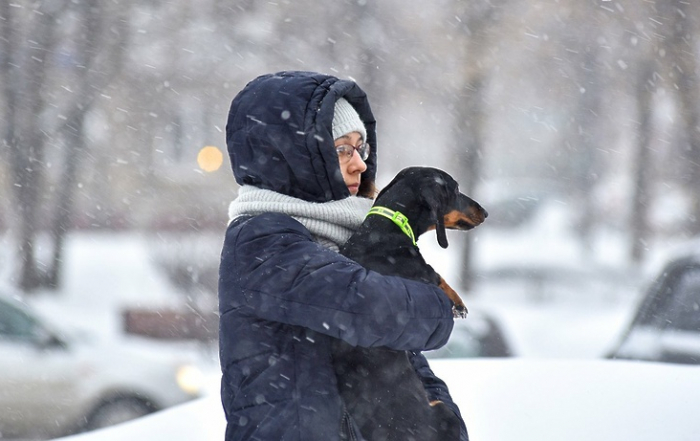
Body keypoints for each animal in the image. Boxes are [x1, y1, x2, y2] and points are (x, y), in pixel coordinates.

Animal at [334, 166, 486, 440]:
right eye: (456, 189)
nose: (485, 212)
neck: (386, 226)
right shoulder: (420, 274)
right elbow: (438, 277)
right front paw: (459, 304)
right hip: (443, 413)